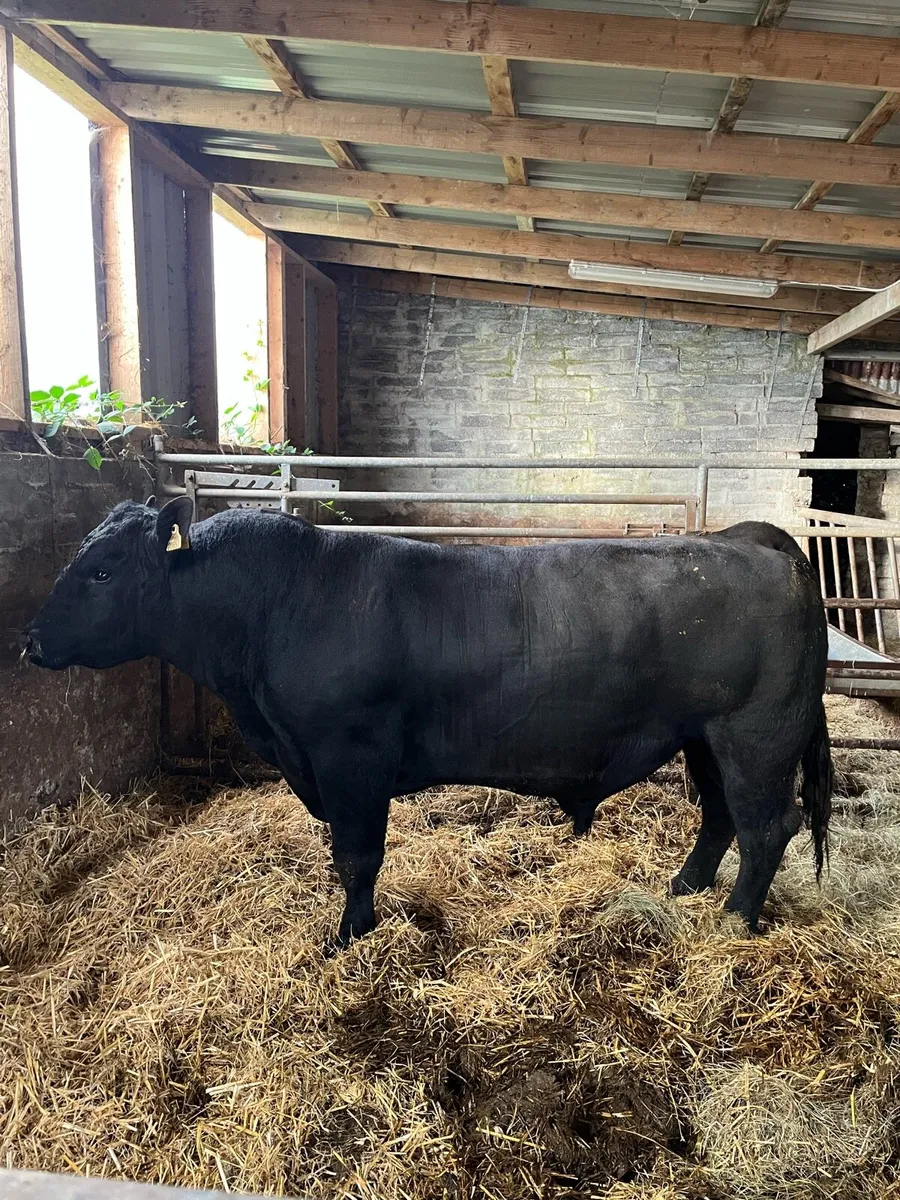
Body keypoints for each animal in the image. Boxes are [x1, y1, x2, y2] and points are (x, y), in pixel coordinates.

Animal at [25, 497, 831, 949]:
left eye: (102, 570)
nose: (31, 639)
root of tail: (747, 538)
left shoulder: (349, 757)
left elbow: (356, 857)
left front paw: (348, 940)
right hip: (705, 738)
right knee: (721, 817)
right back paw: (683, 892)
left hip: (755, 735)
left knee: (767, 826)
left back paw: (734, 920)